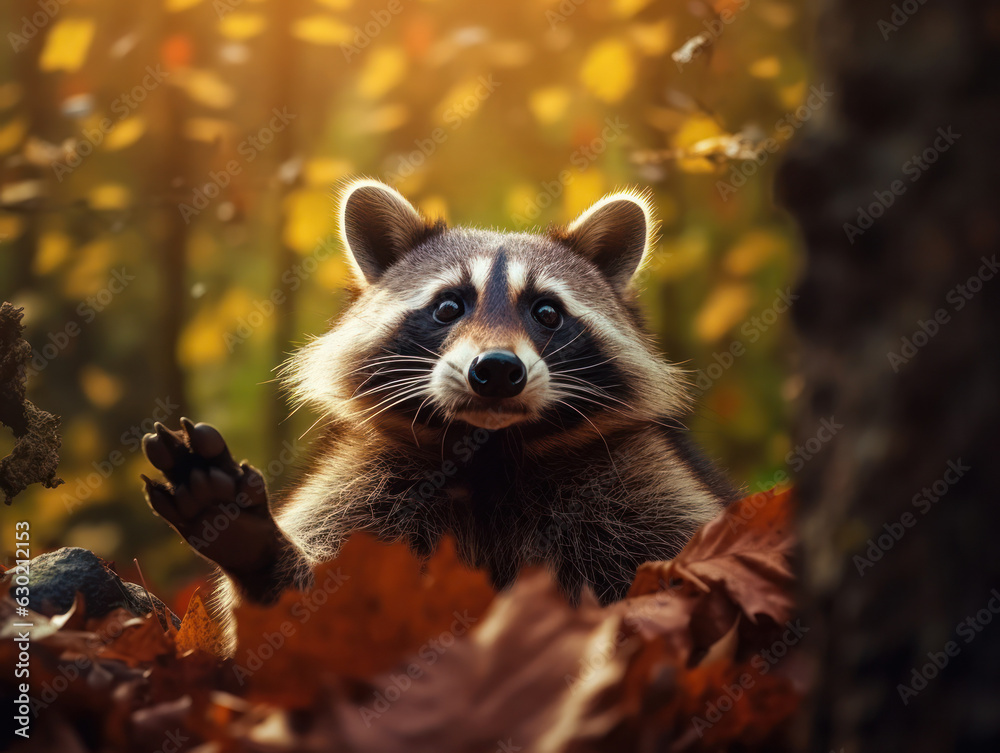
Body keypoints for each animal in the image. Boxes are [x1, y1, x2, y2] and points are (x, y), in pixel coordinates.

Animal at [141, 179, 738, 630]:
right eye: (449, 306)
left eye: (546, 312)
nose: (496, 370)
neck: (489, 450)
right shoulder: (366, 486)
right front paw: (258, 551)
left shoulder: (637, 478)